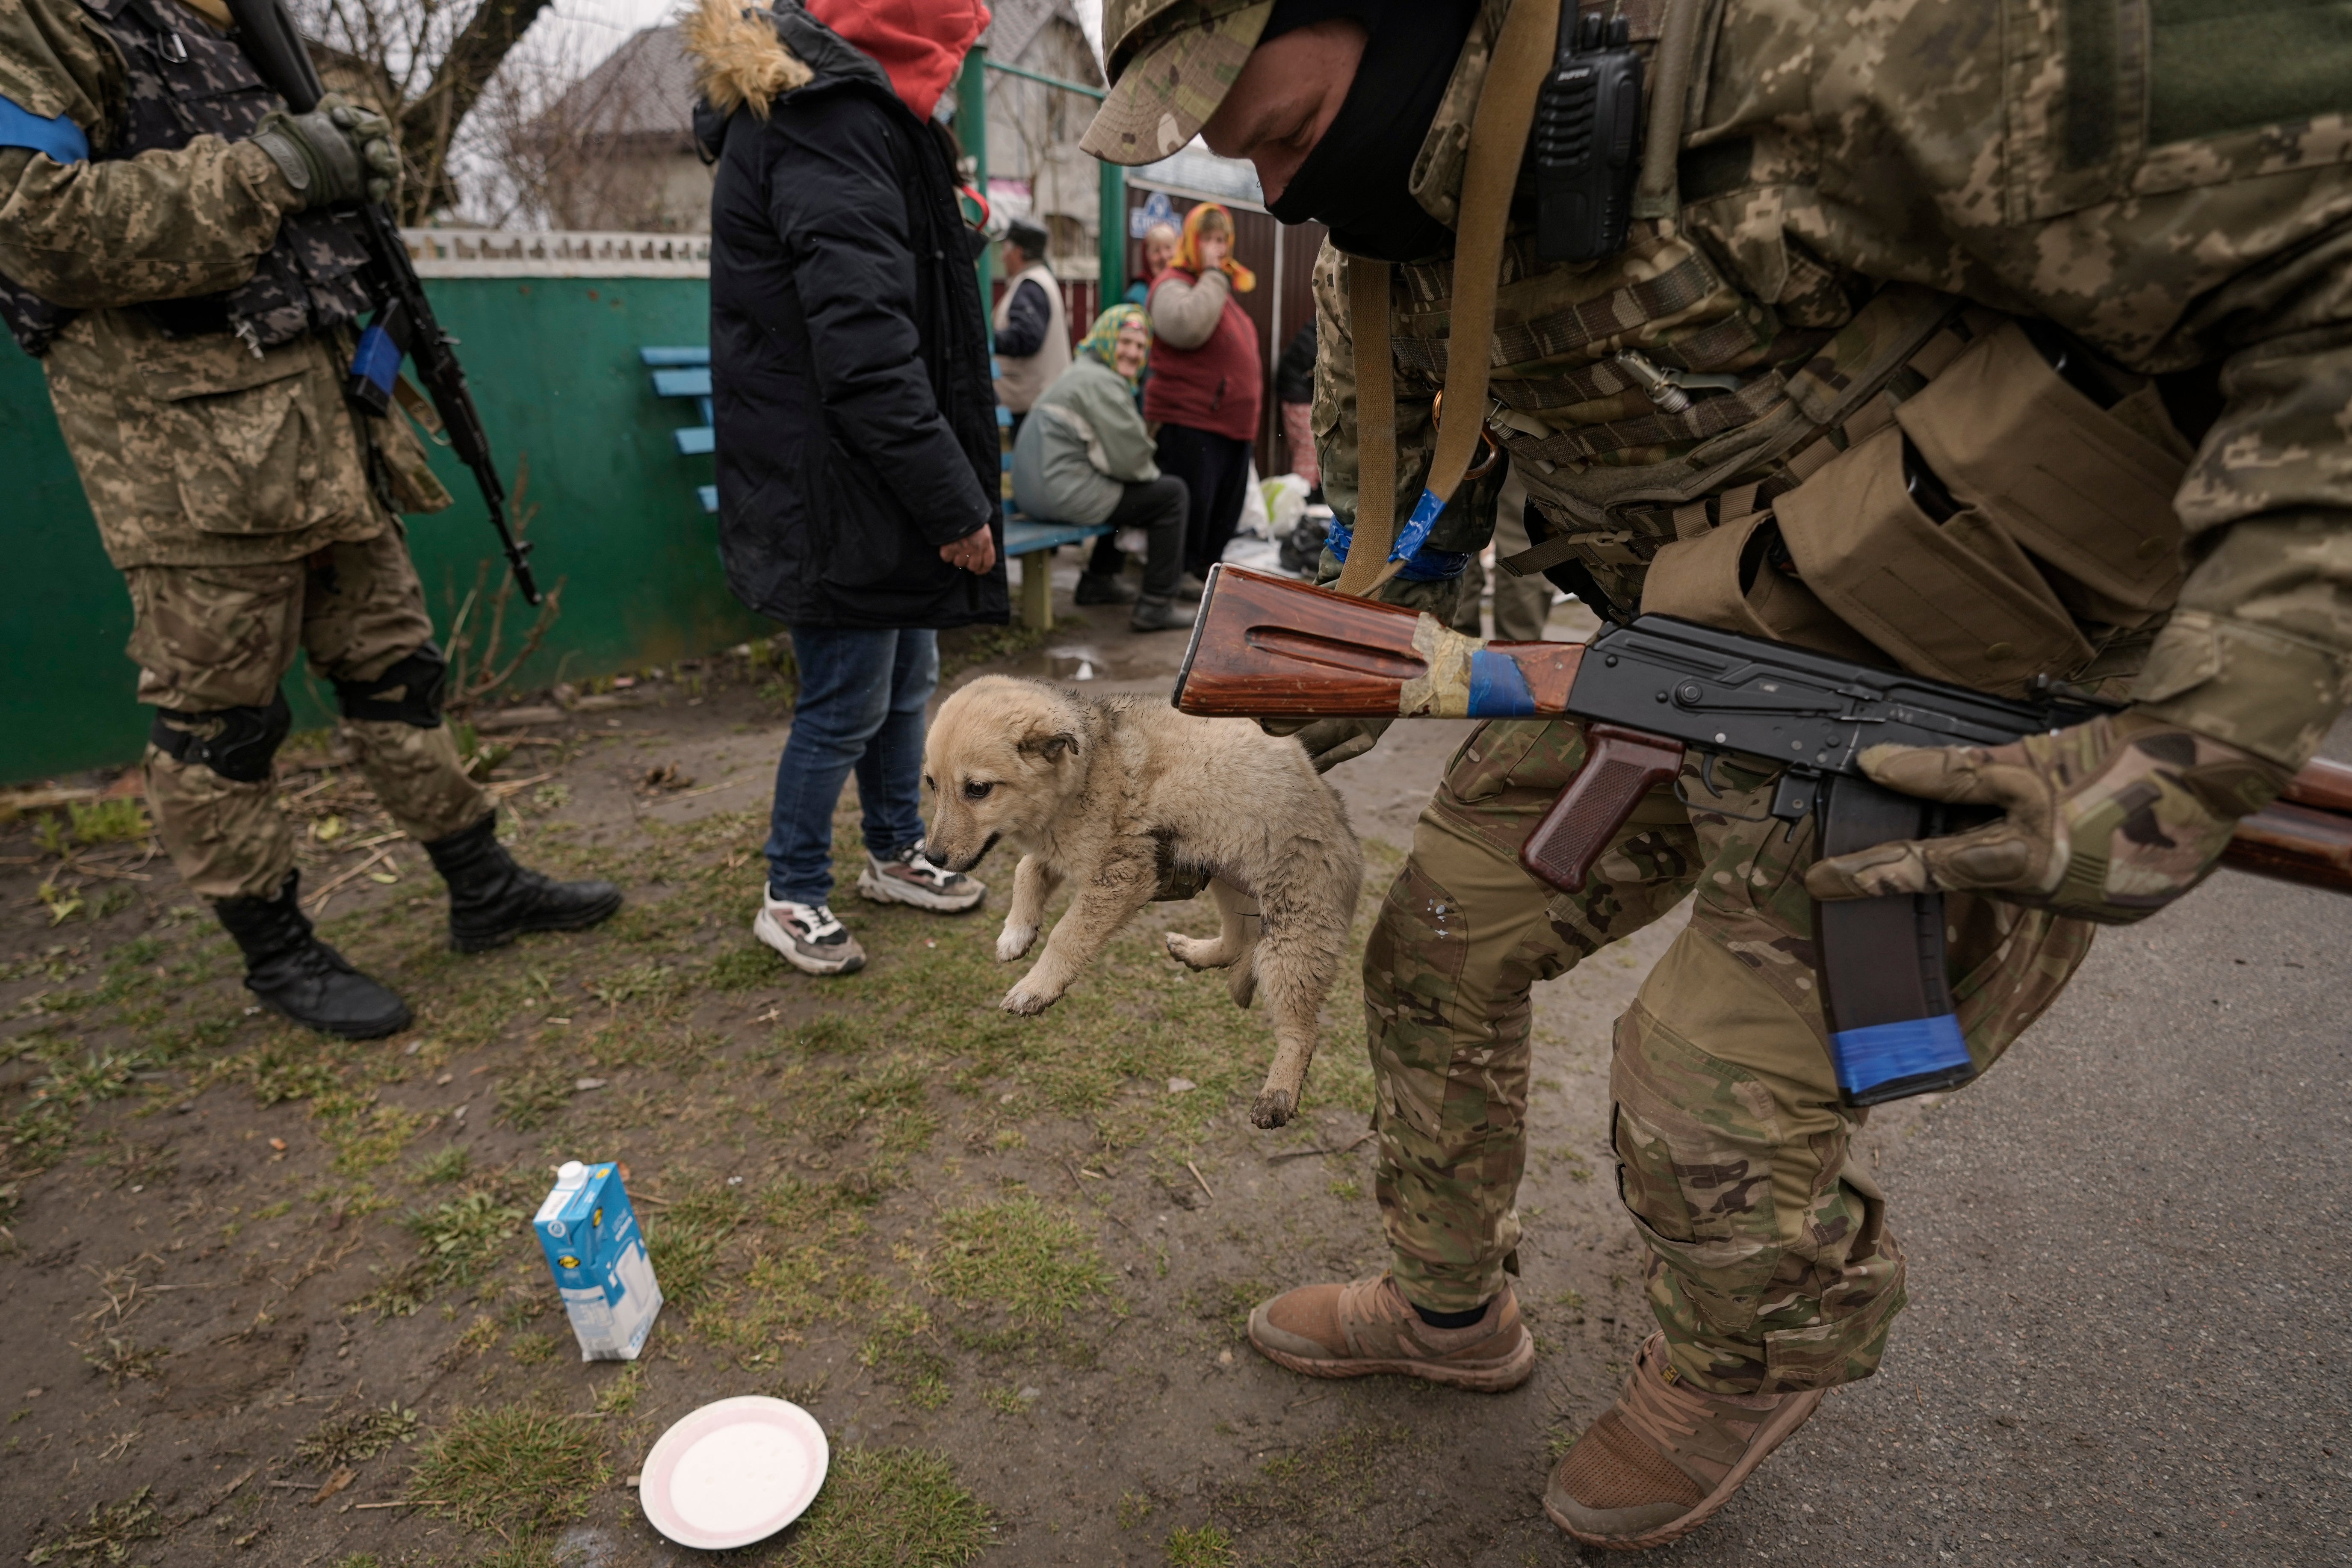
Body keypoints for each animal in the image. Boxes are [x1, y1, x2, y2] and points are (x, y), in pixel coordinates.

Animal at [917, 677, 1364, 1128]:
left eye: (978, 789)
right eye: (932, 784)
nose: (931, 858)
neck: (1090, 768)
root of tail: (1346, 834)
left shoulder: (1121, 871)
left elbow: (1067, 934)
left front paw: (1037, 987)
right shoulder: (1065, 850)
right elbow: (1026, 870)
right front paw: (1017, 932)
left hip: (1292, 938)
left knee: (1302, 1029)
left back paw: (1279, 1094)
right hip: (1224, 875)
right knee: (1239, 940)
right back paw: (1195, 952)